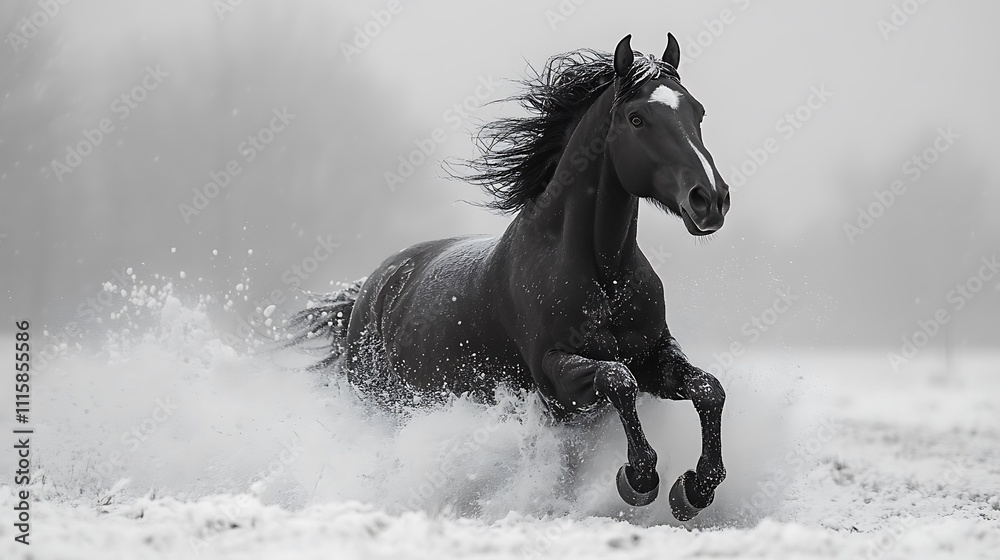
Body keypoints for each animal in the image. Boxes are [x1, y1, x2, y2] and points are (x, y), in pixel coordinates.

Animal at [290, 34, 730, 521]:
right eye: (637, 118)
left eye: (698, 112)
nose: (710, 199)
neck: (603, 275)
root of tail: (369, 291)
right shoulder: (555, 380)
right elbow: (618, 380)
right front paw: (639, 478)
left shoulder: (652, 356)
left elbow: (708, 389)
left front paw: (695, 488)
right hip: (381, 406)